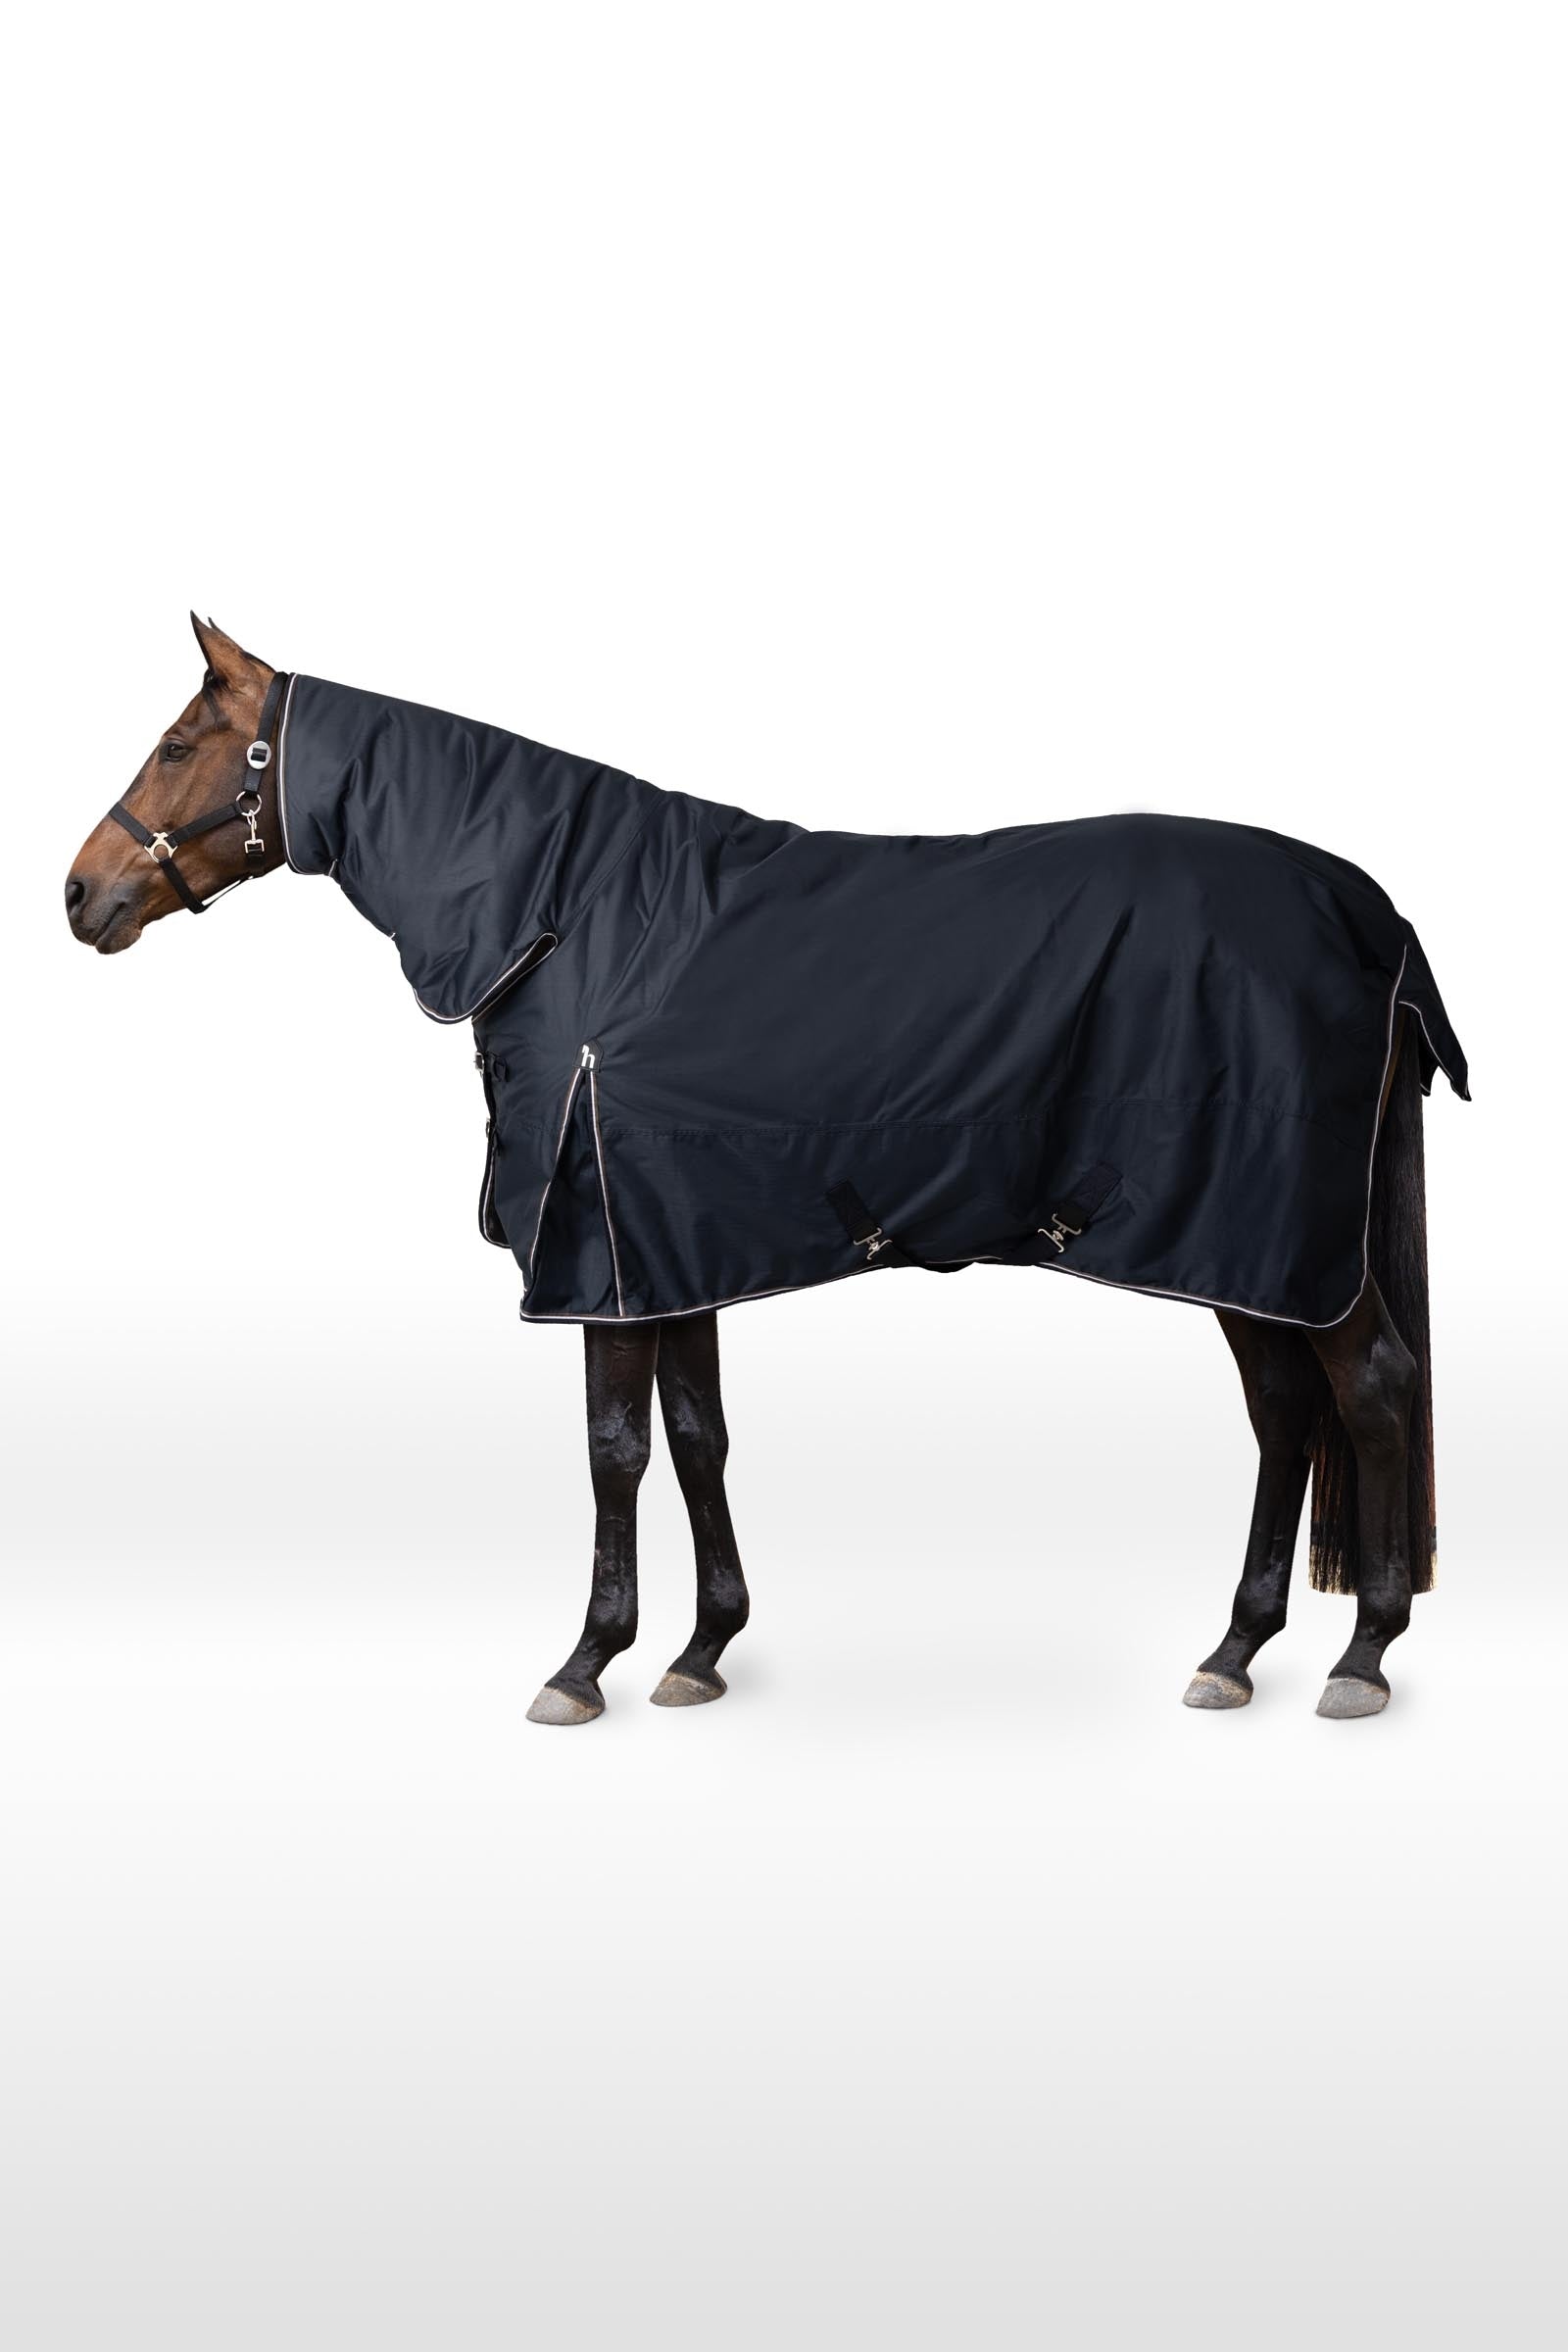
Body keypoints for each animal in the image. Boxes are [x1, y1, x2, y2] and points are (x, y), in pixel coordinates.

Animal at [65, 617, 1469, 1726]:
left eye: (180, 746)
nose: (81, 894)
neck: (573, 919)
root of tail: (1367, 913)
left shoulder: (600, 1256)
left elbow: (614, 1450)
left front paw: (585, 1663)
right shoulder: (666, 1251)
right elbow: (697, 1435)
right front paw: (701, 1650)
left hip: (1286, 1245)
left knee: (1374, 1393)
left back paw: (1361, 1656)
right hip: (1243, 1249)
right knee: (1284, 1411)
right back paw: (1235, 1649)